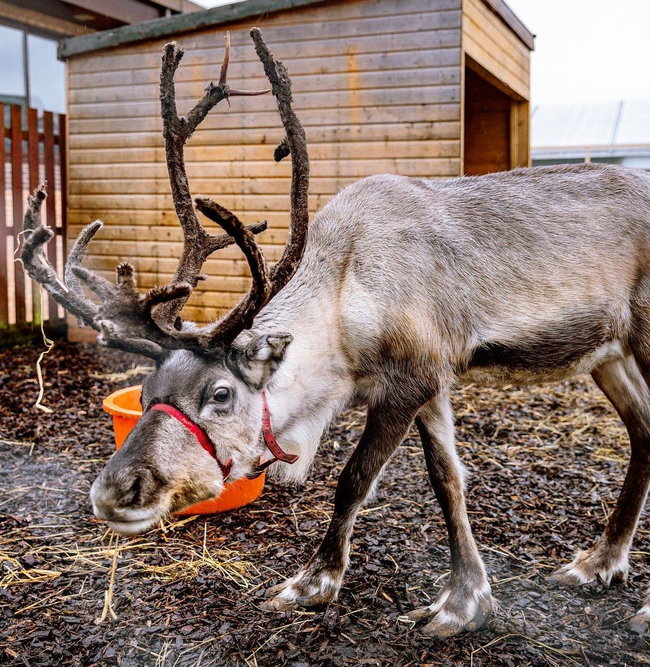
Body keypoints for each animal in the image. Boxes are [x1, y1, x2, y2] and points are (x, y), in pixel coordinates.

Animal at [21, 27, 650, 637]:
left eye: (221, 394)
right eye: (148, 393)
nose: (114, 492)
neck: (344, 305)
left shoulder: (410, 380)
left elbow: (354, 479)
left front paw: (314, 582)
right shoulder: (433, 381)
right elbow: (449, 479)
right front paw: (465, 600)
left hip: (643, 336)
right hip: (609, 354)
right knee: (644, 429)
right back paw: (598, 563)